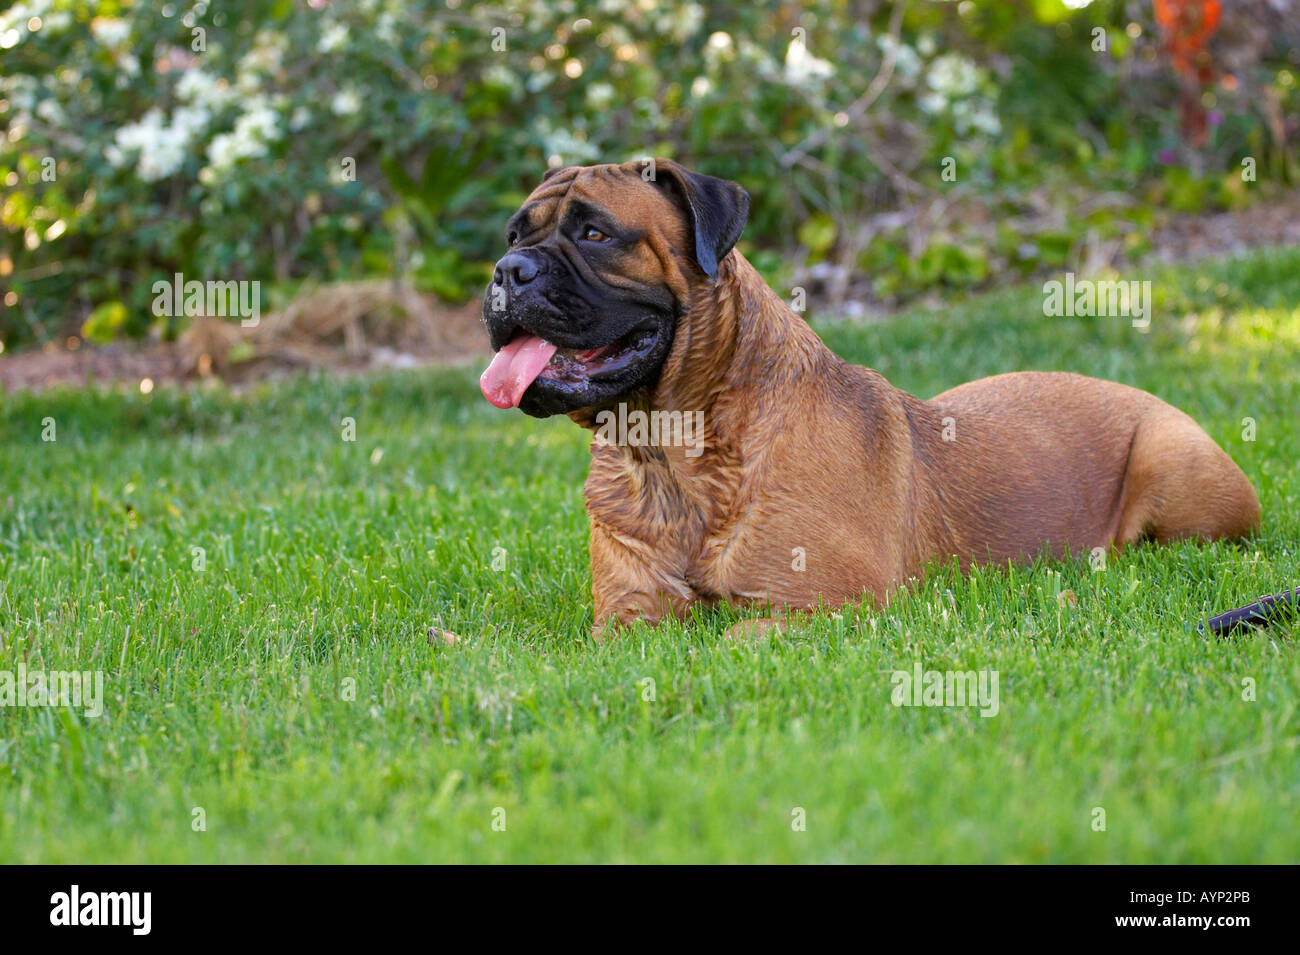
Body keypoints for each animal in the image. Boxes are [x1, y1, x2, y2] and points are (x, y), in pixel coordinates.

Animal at [478, 160, 1258, 639]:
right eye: (513, 235)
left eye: (595, 233)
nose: (506, 271)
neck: (676, 453)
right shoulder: (628, 616)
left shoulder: (831, 611)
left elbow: (731, 635)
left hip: (1174, 467)